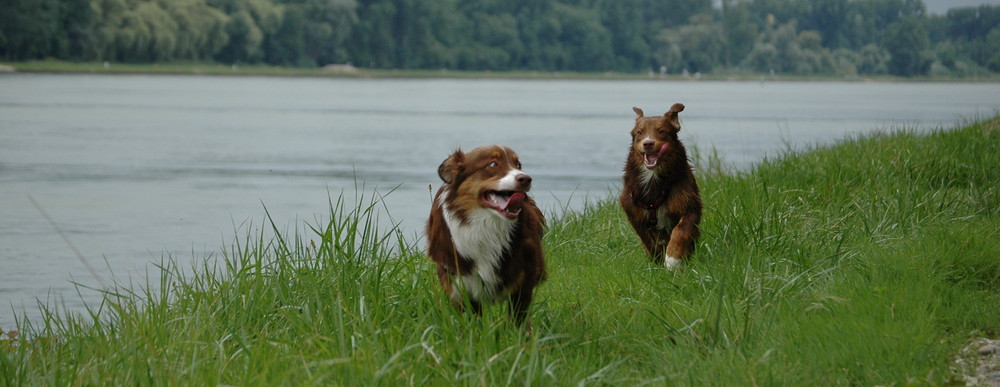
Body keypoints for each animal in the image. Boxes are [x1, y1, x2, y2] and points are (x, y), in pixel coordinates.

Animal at [424, 146, 548, 328]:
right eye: (493, 164)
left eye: (518, 164)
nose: (526, 178)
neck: (486, 224)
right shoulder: (459, 282)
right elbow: (473, 319)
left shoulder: (525, 275)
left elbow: (518, 317)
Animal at [616, 104, 704, 272]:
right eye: (640, 132)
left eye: (662, 131)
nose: (648, 143)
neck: (653, 177)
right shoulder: (634, 213)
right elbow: (648, 240)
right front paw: (660, 257)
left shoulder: (689, 204)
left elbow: (680, 230)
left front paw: (672, 259)